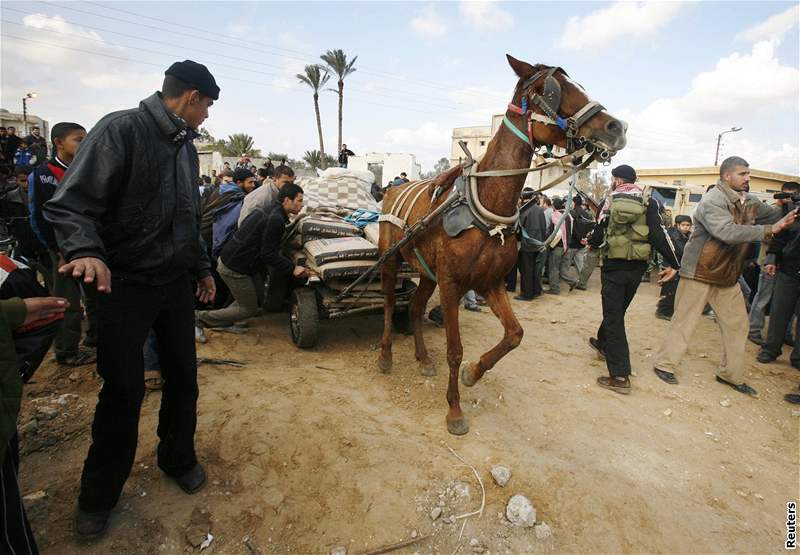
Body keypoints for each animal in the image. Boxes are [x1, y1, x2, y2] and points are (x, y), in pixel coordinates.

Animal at [378, 54, 628, 436]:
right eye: (554, 90)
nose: (617, 127)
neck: (487, 201)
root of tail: (391, 189)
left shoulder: (490, 282)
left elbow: (515, 335)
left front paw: (473, 373)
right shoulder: (452, 284)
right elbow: (455, 349)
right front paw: (454, 410)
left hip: (427, 273)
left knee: (417, 307)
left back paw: (423, 358)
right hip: (392, 261)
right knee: (392, 305)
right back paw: (386, 355)